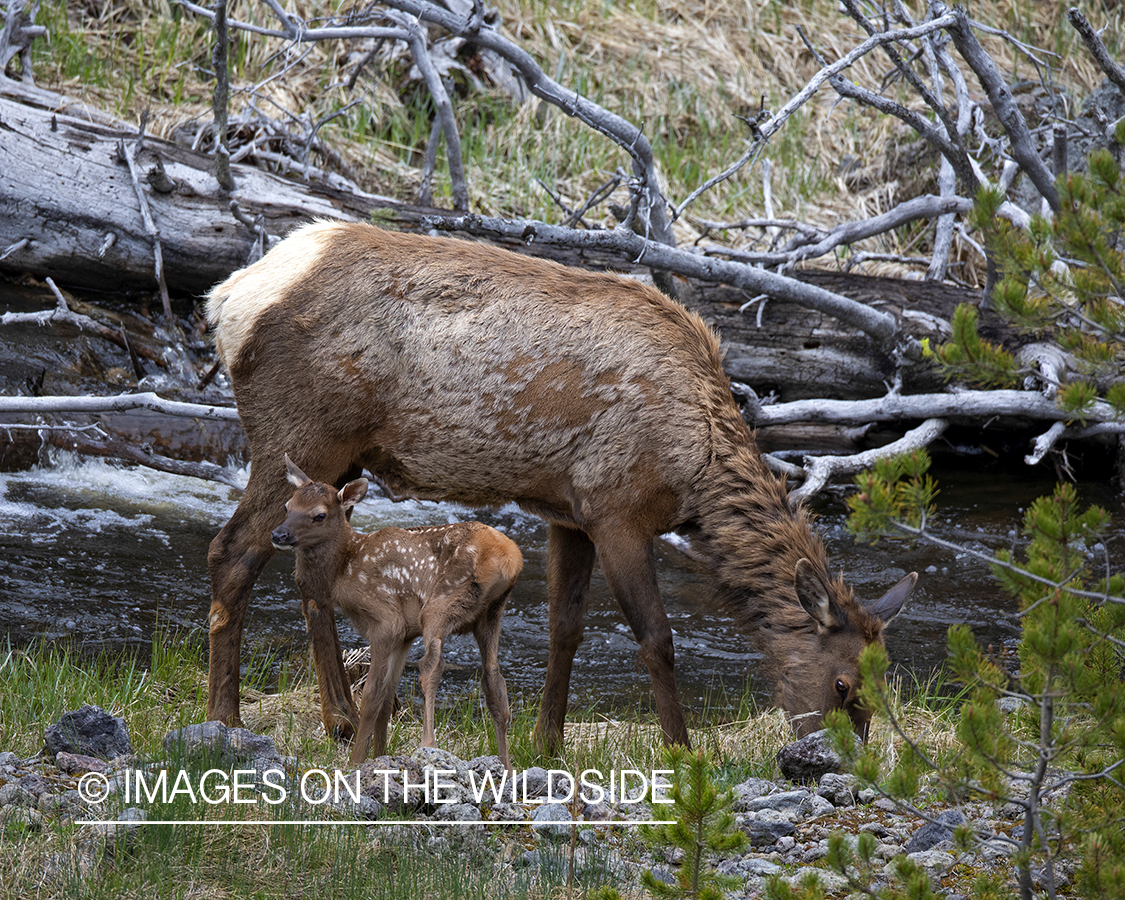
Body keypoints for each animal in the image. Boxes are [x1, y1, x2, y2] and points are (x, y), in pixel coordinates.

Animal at [272, 456, 522, 765]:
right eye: (287, 506)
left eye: (319, 515)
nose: (278, 534)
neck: (344, 571)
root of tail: (511, 559)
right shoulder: (405, 633)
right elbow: (388, 696)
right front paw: (380, 757)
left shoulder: (386, 619)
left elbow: (371, 697)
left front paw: (356, 762)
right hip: (491, 613)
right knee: (494, 680)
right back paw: (506, 767)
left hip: (441, 604)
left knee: (432, 667)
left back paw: (429, 744)